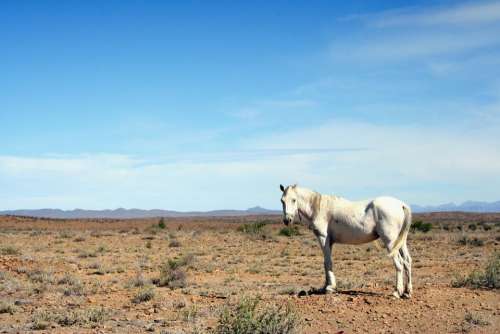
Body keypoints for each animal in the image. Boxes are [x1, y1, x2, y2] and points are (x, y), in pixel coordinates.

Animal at [280, 184, 412, 298]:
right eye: (282, 200)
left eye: (294, 200)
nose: (287, 220)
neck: (319, 208)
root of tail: (401, 205)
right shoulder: (329, 242)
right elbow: (326, 262)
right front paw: (325, 286)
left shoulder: (323, 238)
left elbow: (328, 262)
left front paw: (330, 288)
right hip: (400, 242)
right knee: (407, 261)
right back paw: (407, 292)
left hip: (390, 242)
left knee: (399, 263)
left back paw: (397, 292)